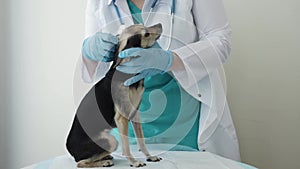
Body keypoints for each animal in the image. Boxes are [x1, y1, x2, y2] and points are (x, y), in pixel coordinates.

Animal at [67, 23, 163, 168]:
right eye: (146, 34)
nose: (160, 25)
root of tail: (70, 148)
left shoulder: (135, 114)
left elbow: (141, 141)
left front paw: (150, 157)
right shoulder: (122, 118)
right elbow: (126, 146)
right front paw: (134, 162)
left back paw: (105, 157)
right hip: (111, 141)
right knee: (81, 163)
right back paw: (104, 161)